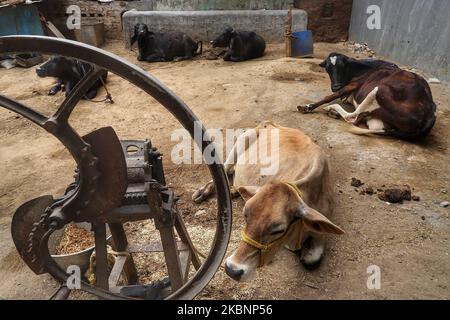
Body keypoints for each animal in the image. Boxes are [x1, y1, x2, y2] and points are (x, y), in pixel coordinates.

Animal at [192, 121, 342, 282]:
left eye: (278, 230)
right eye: (245, 215)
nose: (232, 270)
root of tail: (271, 124)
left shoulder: (321, 232)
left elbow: (311, 259)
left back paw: (234, 191)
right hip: (241, 141)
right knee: (225, 170)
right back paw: (202, 192)